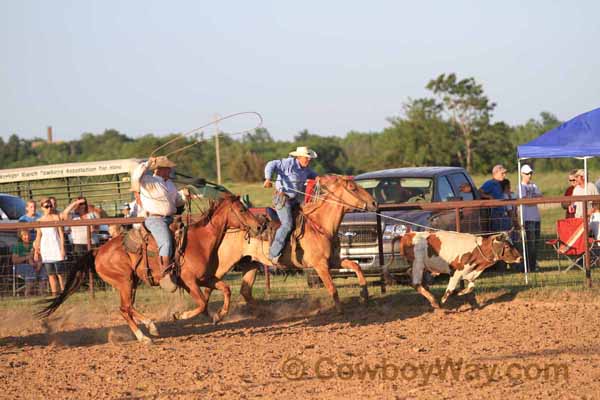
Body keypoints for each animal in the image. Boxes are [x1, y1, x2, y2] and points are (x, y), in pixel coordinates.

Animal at [37, 194, 262, 344]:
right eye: (242, 210)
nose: (260, 226)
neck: (200, 241)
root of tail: (97, 250)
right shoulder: (189, 281)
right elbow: (201, 303)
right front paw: (181, 315)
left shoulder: (206, 278)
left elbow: (225, 290)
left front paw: (219, 315)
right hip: (125, 281)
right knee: (125, 308)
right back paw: (145, 335)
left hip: (132, 282)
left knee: (127, 308)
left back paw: (149, 328)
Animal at [205, 177, 376, 314]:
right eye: (353, 188)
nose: (374, 202)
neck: (320, 225)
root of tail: (227, 227)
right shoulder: (320, 265)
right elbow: (332, 288)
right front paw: (340, 311)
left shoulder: (332, 261)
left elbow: (356, 266)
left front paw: (364, 295)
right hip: (225, 263)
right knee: (209, 284)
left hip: (250, 263)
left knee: (245, 291)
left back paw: (265, 312)